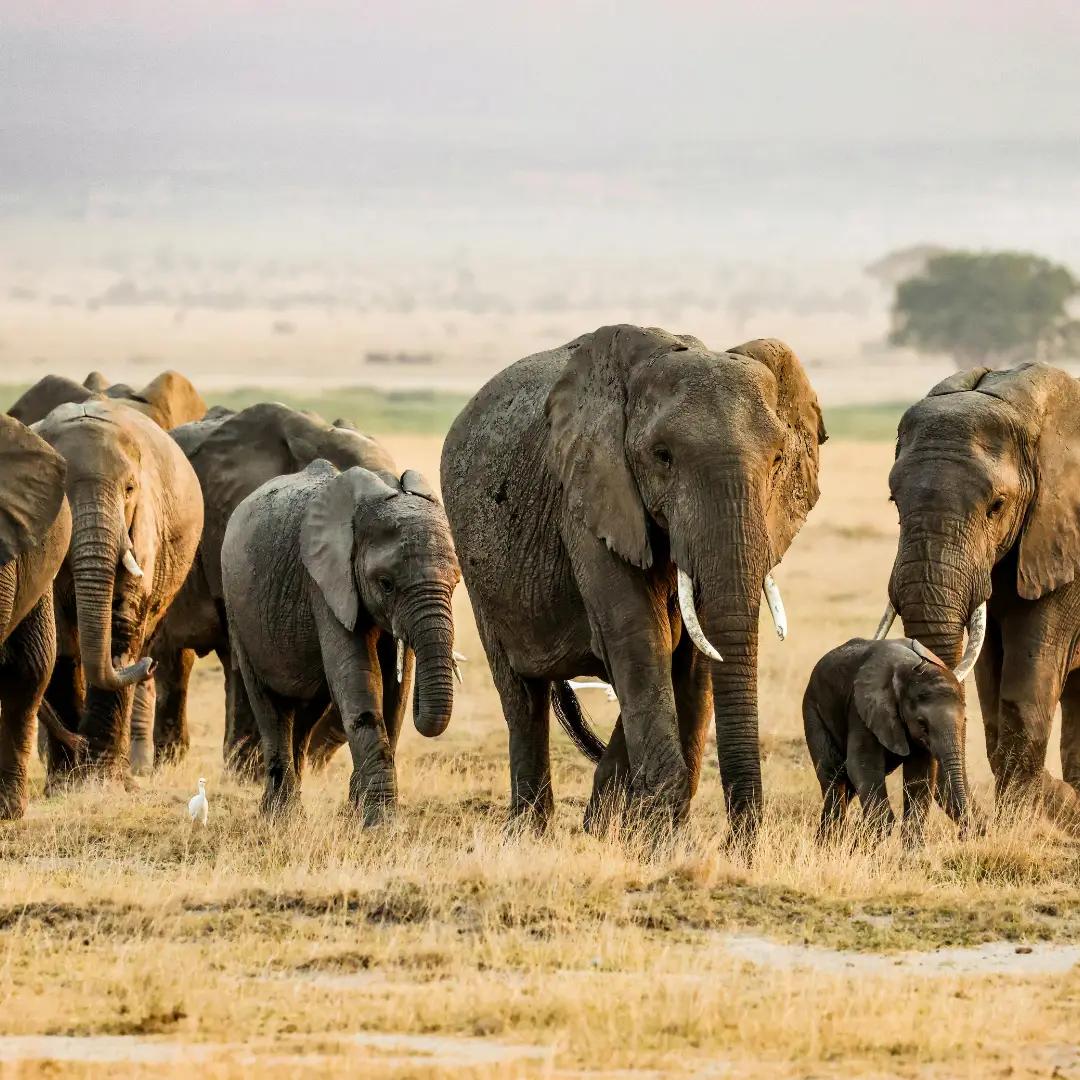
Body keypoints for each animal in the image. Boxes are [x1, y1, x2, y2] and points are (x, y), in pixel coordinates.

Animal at [32, 398, 204, 775]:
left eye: (129, 490)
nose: (150, 664)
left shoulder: (144, 522)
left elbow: (123, 622)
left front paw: (99, 775)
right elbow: (59, 636)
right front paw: (68, 778)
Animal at [221, 459, 460, 821]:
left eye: (456, 582)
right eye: (386, 584)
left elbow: (395, 695)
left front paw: (359, 811)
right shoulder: (325, 584)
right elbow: (358, 677)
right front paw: (379, 822)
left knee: (306, 713)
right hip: (238, 612)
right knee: (269, 705)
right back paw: (280, 816)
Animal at [440, 325, 825, 837]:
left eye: (779, 458)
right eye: (662, 457)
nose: (736, 844)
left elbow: (690, 655)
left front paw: (646, 834)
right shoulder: (588, 497)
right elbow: (639, 637)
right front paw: (659, 837)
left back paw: (594, 825)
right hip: (476, 563)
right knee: (522, 697)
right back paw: (528, 833)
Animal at [803, 637, 970, 845]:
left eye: (965, 720)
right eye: (922, 724)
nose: (961, 835)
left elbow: (919, 777)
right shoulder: (862, 709)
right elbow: (862, 765)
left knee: (846, 786)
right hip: (813, 712)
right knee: (833, 776)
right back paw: (828, 845)